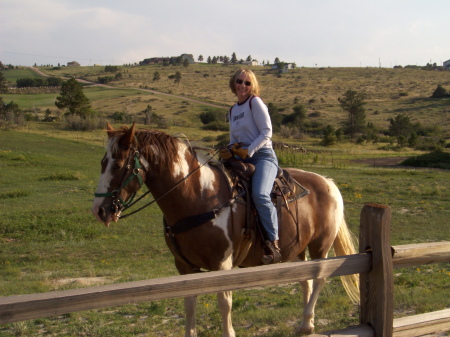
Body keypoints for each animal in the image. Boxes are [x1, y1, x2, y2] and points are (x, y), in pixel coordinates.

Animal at [91, 123, 358, 336]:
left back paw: (305, 324)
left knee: (319, 278)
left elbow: (224, 303)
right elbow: (189, 304)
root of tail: (328, 183)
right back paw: (306, 324)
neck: (199, 196)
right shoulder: (184, 266)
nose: (99, 210)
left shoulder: (222, 264)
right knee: (306, 281)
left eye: (118, 164)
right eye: (102, 162)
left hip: (320, 246)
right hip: (298, 249)